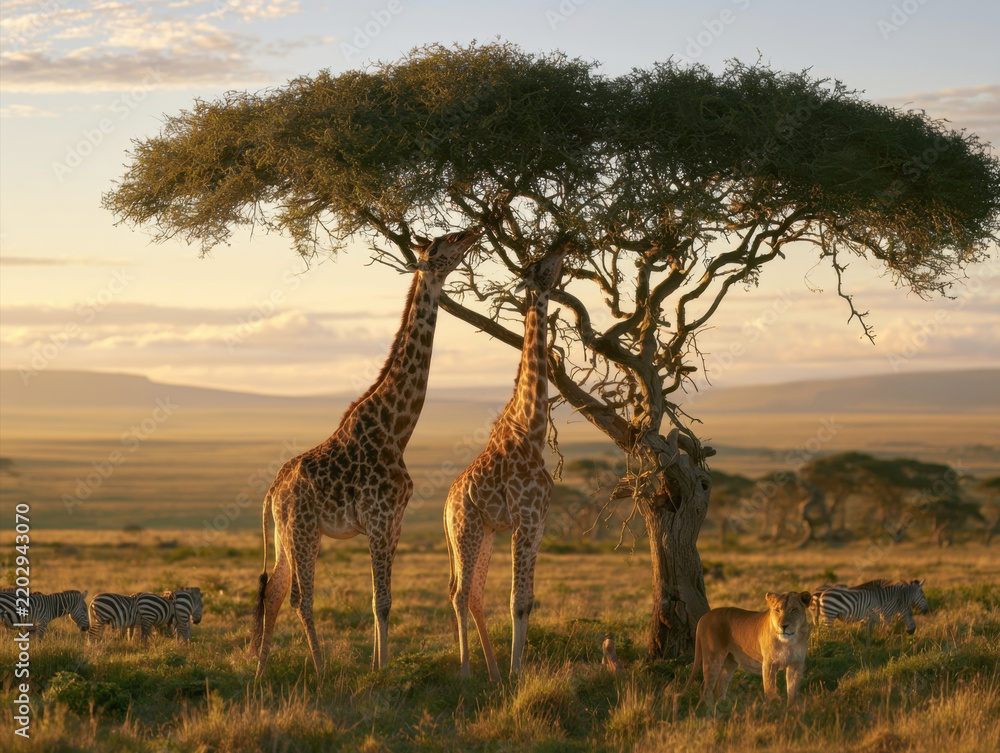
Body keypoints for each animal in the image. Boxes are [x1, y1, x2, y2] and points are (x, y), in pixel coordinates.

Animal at [250, 228, 480, 678]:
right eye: (442, 246)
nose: (472, 232)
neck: (398, 429)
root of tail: (273, 490)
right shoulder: (378, 518)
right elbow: (384, 601)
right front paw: (384, 670)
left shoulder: (394, 522)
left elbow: (378, 600)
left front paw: (377, 662)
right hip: (303, 529)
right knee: (299, 598)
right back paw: (320, 669)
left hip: (285, 533)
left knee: (273, 594)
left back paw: (260, 673)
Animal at [444, 243, 567, 681]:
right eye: (543, 262)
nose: (568, 242)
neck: (531, 428)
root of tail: (446, 504)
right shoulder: (525, 518)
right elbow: (516, 599)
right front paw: (518, 674)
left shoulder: (539, 520)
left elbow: (528, 599)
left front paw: (517, 670)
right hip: (466, 528)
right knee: (460, 592)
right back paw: (467, 671)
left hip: (485, 532)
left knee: (474, 593)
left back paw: (493, 672)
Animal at [683, 590, 812, 707]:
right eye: (777, 610)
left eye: (794, 610)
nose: (783, 626)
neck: (790, 642)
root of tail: (704, 616)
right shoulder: (769, 663)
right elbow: (770, 688)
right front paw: (774, 707)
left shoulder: (796, 664)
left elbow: (793, 690)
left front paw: (791, 709)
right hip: (713, 658)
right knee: (706, 688)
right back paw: (709, 710)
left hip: (730, 662)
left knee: (719, 687)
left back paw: (723, 707)